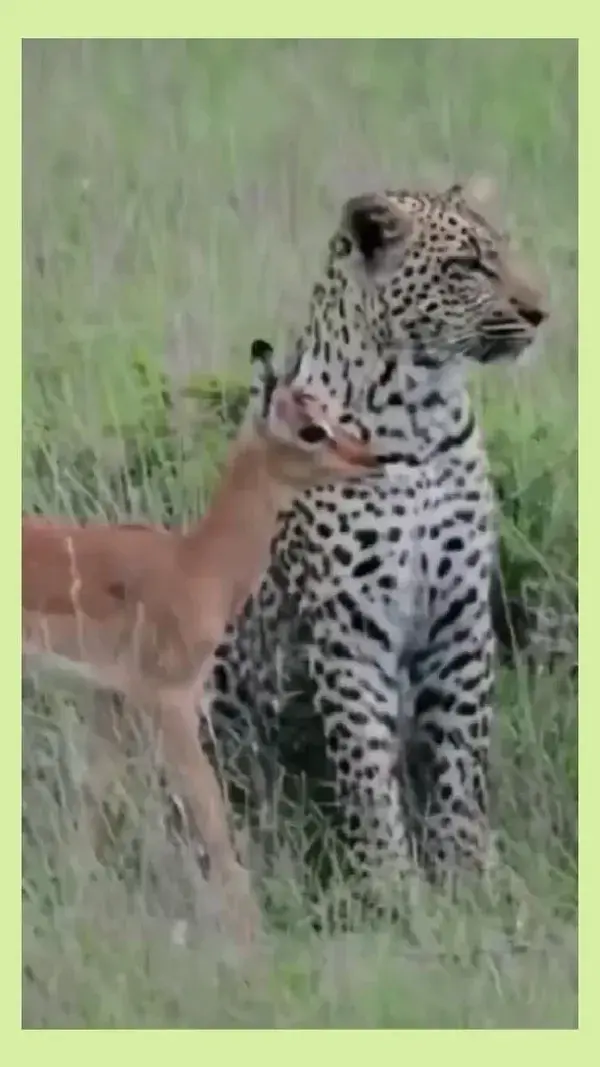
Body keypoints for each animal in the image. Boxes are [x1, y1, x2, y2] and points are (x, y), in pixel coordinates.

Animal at [204, 179, 546, 896]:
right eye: (468, 266)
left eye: (503, 253)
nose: (540, 313)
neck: (419, 415)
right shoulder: (352, 626)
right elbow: (364, 763)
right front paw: (392, 885)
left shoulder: (458, 615)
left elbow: (461, 753)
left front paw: (469, 873)